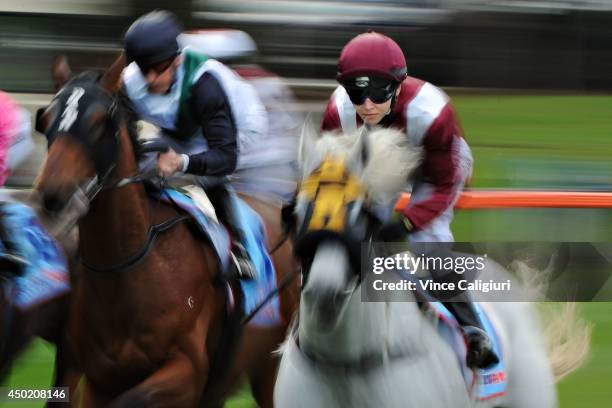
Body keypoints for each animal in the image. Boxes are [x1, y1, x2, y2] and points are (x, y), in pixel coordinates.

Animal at [35, 57, 298, 408]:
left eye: (98, 120)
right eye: (46, 118)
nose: (53, 192)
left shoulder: (188, 371)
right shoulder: (94, 377)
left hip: (270, 371)